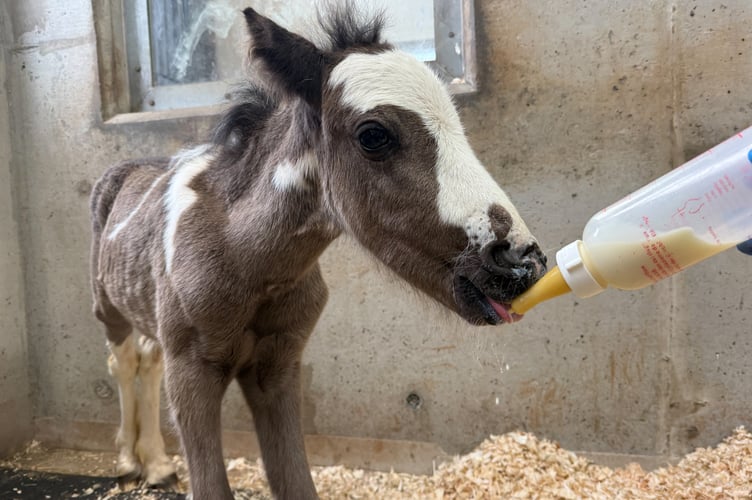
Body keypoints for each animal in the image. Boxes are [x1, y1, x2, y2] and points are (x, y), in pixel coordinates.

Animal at [89, 5, 547, 499]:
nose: (522, 260)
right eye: (374, 135)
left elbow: (296, 481)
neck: (244, 257)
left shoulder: (277, 367)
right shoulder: (192, 373)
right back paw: (127, 461)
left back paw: (155, 463)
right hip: (108, 308)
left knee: (148, 361)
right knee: (123, 362)